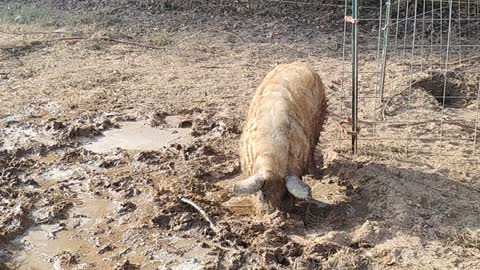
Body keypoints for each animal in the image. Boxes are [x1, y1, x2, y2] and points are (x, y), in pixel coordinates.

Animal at [232, 61, 326, 213]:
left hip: (321, 115)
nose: (275, 213)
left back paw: (315, 175)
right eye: (264, 194)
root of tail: (298, 62)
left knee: (313, 147)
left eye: (285, 194)